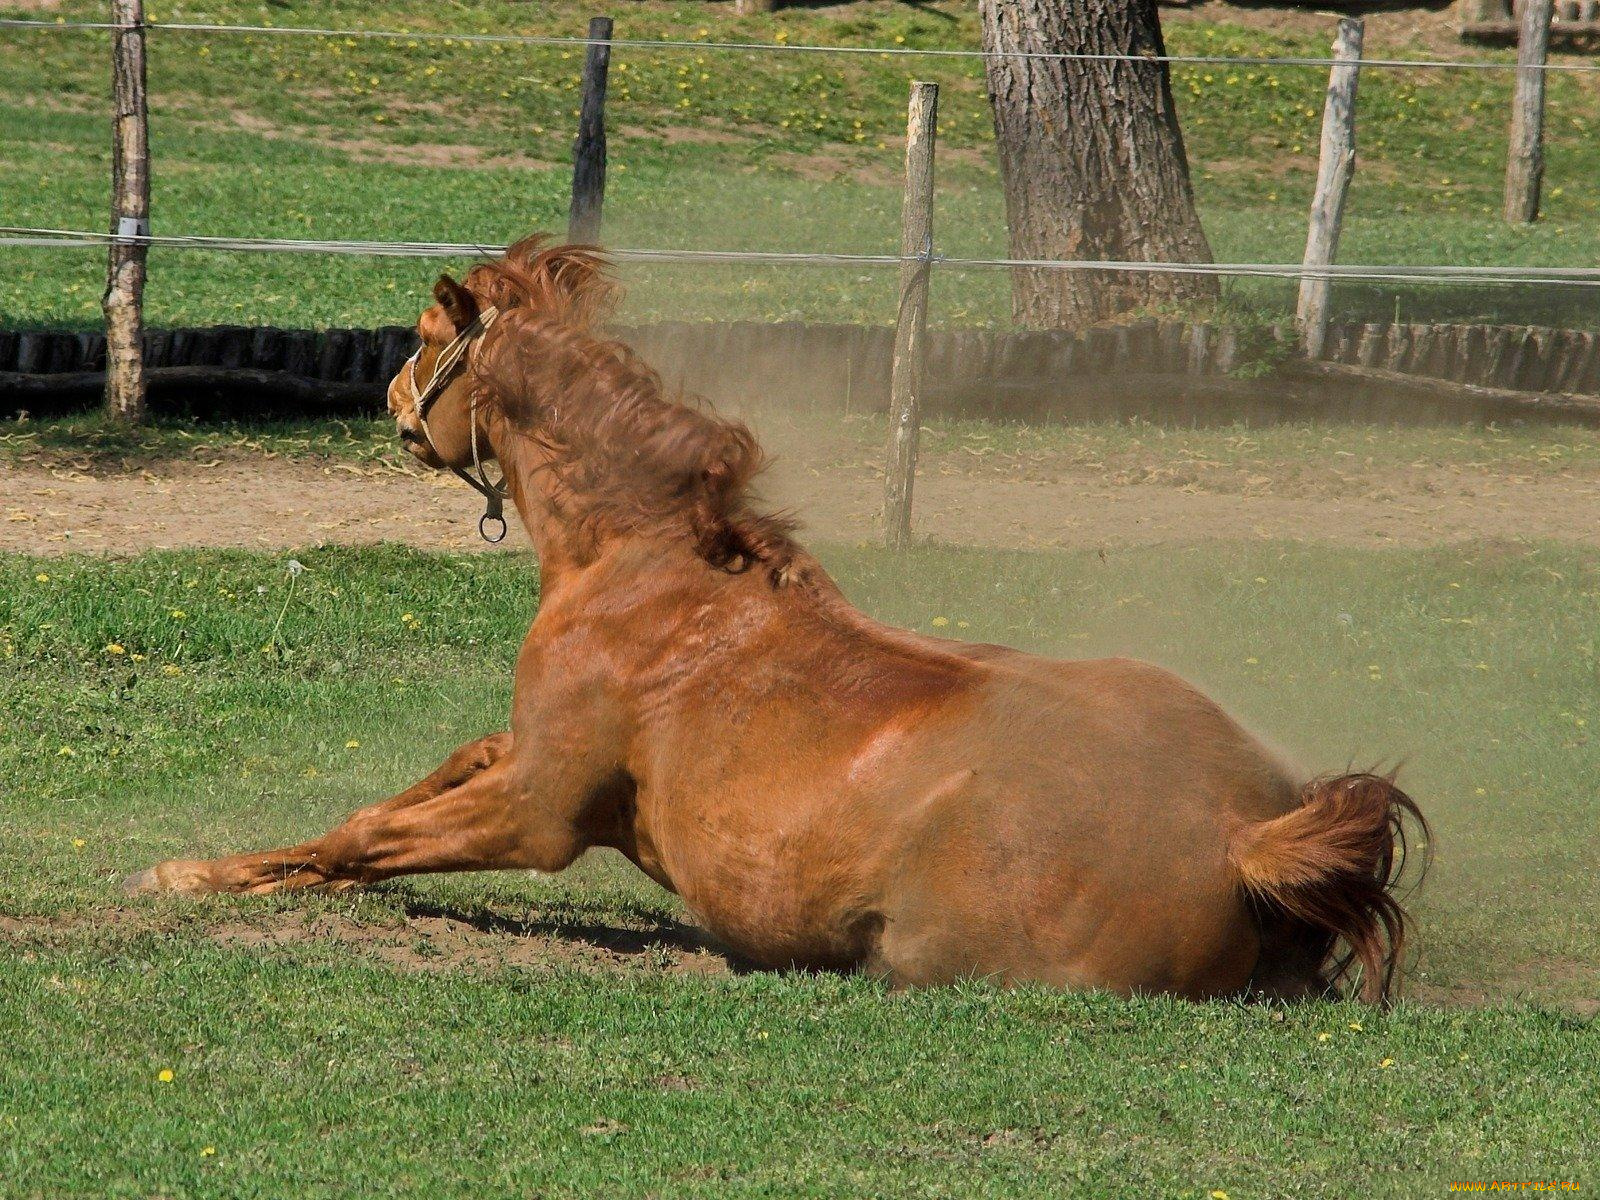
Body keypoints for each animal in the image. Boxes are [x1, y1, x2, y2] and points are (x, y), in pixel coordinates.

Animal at [124, 235, 1427, 1004]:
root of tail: (1245, 836)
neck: (643, 573)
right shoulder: (519, 752)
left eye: (429, 334)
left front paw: (192, 874)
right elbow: (396, 796)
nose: (388, 397)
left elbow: (364, 837)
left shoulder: (538, 810)